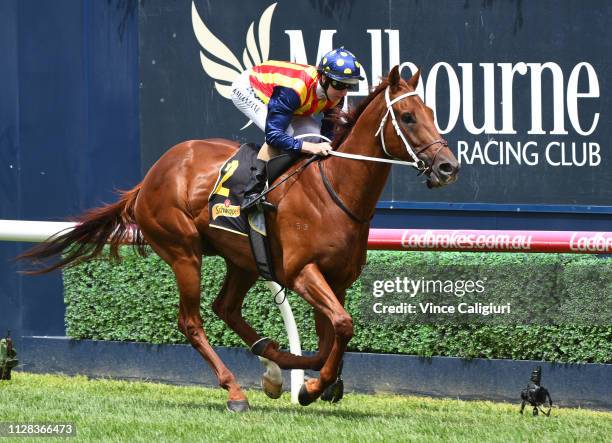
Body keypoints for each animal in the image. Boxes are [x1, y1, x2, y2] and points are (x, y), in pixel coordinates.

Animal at [19, 66, 460, 412]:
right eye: (407, 116)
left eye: (432, 113)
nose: (447, 166)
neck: (334, 190)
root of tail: (150, 177)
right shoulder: (301, 272)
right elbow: (341, 326)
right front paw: (312, 386)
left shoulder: (337, 279)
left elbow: (331, 335)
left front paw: (311, 381)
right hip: (183, 252)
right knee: (192, 321)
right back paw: (236, 389)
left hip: (243, 258)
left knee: (226, 308)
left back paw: (271, 365)